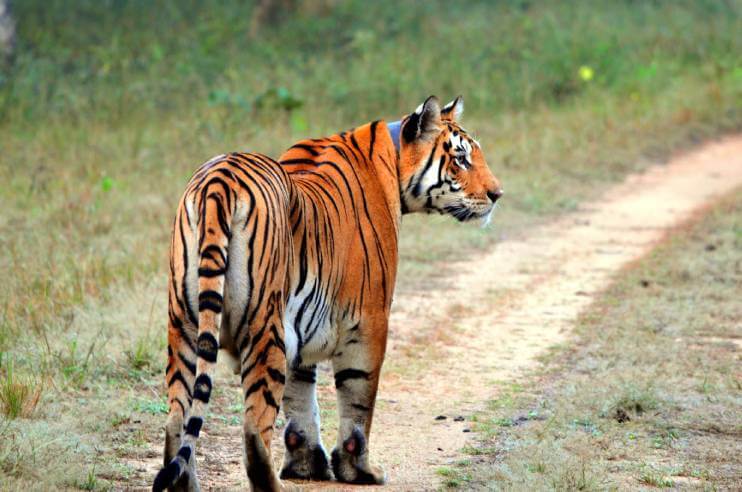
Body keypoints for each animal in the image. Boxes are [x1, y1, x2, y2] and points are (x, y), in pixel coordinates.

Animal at [155, 97, 506, 492]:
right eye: (460, 158)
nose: (497, 194)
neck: (394, 160)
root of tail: (219, 182)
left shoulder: (298, 327)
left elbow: (300, 402)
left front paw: (307, 466)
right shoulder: (369, 322)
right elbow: (358, 401)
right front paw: (360, 472)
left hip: (186, 326)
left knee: (176, 420)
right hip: (264, 328)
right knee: (254, 429)